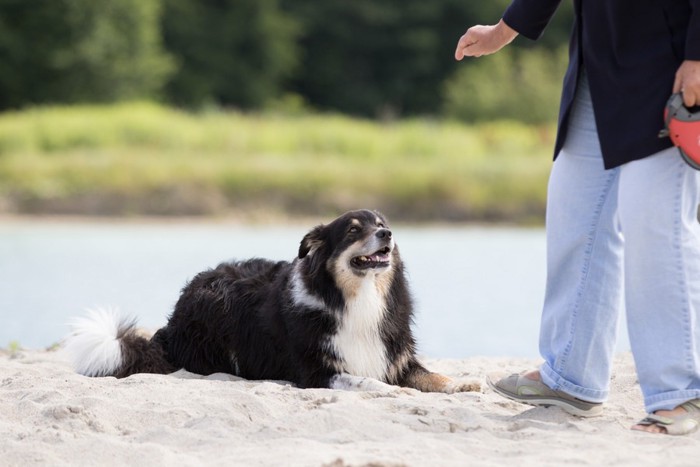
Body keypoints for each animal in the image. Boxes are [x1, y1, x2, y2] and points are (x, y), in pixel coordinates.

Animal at [64, 210, 482, 394]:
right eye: (352, 230)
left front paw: (462, 383)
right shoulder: (316, 371)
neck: (355, 298)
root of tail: (171, 324)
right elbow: (365, 380)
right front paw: (389, 390)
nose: (388, 234)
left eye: (381, 223)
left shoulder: (396, 356)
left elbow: (431, 375)